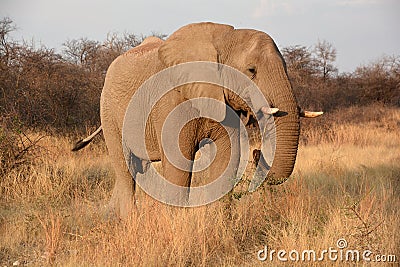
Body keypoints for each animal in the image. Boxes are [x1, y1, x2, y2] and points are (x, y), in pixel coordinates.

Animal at [72, 22, 322, 220]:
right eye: (252, 70)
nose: (257, 151)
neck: (222, 39)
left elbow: (228, 157)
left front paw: (219, 222)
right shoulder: (171, 99)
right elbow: (179, 160)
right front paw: (175, 225)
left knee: (135, 167)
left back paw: (111, 216)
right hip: (109, 110)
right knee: (124, 166)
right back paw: (128, 220)